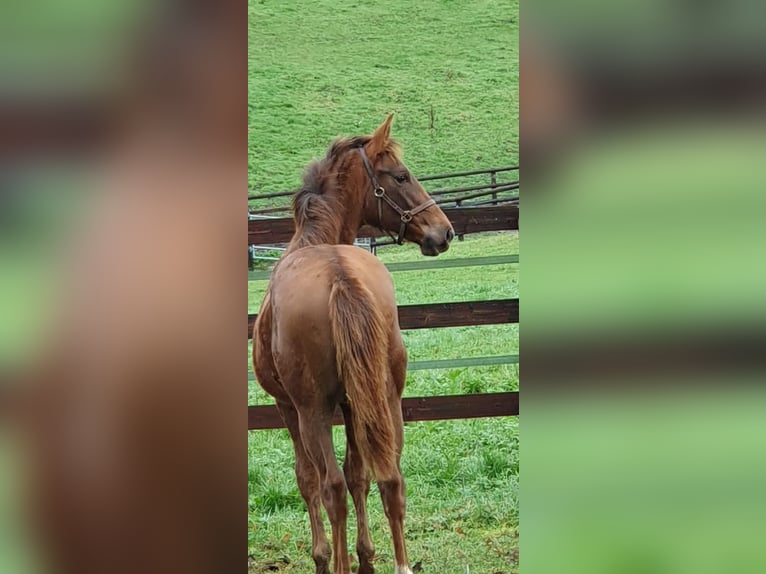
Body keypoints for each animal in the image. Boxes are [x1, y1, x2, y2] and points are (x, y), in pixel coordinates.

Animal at [253, 114, 454, 574]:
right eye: (401, 175)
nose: (444, 232)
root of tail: (339, 274)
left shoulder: (288, 407)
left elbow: (311, 481)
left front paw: (325, 557)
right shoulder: (351, 403)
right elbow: (360, 475)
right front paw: (367, 558)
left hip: (313, 411)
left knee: (331, 488)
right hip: (386, 396)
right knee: (390, 478)